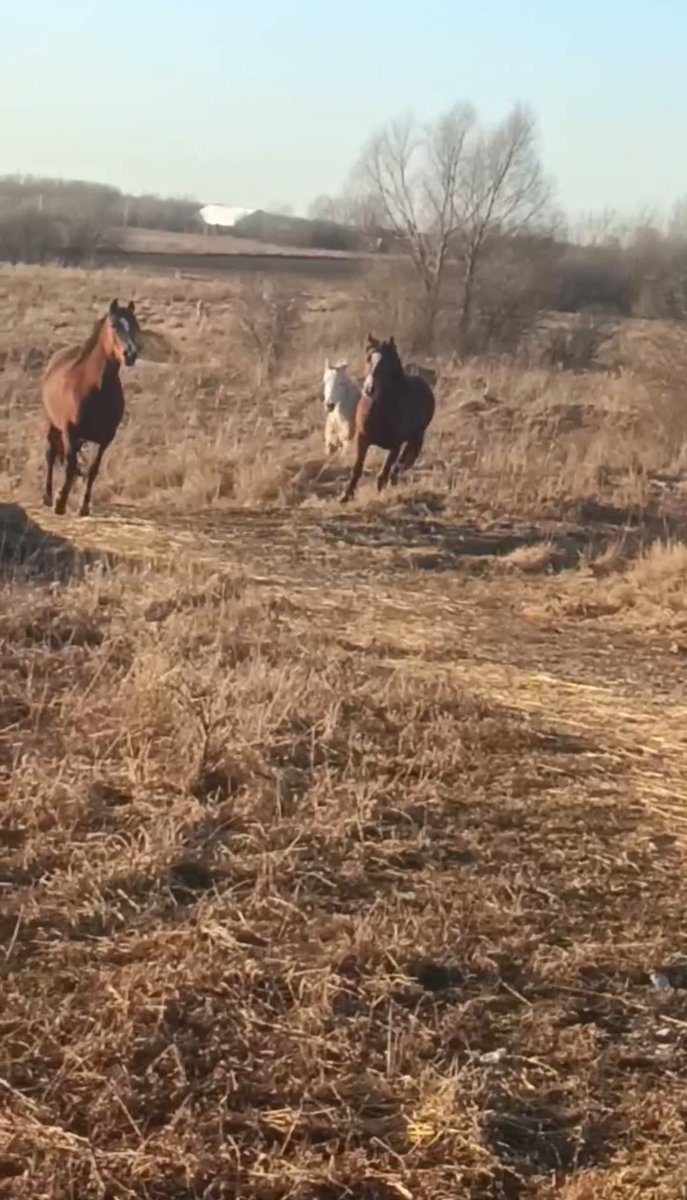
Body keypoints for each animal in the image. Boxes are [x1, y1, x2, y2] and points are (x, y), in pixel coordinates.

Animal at [42, 298, 141, 517]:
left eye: (136, 326)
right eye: (114, 325)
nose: (130, 354)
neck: (95, 388)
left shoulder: (104, 439)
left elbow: (93, 470)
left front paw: (84, 506)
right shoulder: (70, 431)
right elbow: (70, 466)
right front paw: (60, 502)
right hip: (52, 424)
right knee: (51, 455)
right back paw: (47, 497)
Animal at [340, 334, 435, 503]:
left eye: (387, 362)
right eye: (368, 358)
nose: (369, 389)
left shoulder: (395, 445)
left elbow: (384, 472)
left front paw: (381, 493)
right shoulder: (363, 439)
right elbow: (357, 468)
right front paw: (346, 496)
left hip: (416, 437)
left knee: (406, 459)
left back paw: (395, 477)